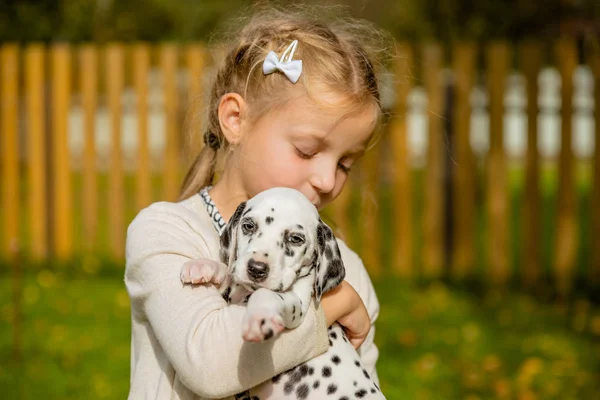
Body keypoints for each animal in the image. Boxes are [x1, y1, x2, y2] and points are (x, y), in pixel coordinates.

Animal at [180, 188, 384, 400]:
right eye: (248, 226)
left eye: (295, 239)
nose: (256, 269)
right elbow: (230, 273)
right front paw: (203, 266)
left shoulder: (298, 304)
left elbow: (266, 294)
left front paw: (258, 319)